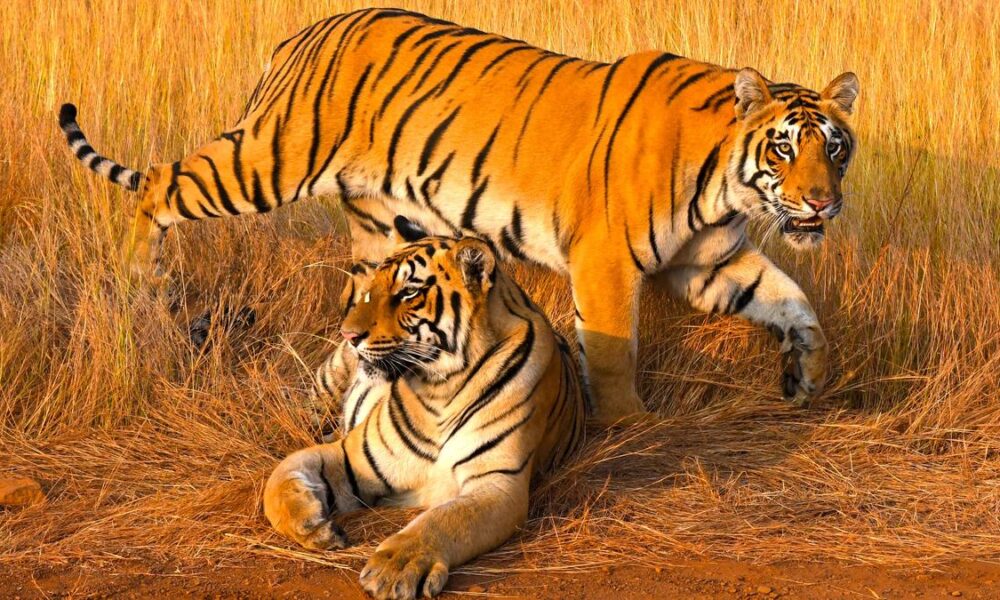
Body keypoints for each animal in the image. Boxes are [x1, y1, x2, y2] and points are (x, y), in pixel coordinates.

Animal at [58, 7, 859, 421]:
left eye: (834, 148)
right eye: (784, 148)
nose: (822, 201)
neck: (725, 185)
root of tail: (308, 29)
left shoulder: (709, 262)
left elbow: (798, 305)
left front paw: (806, 377)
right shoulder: (607, 261)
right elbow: (612, 351)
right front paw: (631, 428)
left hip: (384, 228)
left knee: (355, 327)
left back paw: (319, 391)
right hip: (268, 161)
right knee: (158, 185)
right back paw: (142, 285)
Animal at [263, 216, 587, 600]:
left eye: (408, 293)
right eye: (371, 289)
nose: (348, 335)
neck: (440, 390)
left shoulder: (498, 482)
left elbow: (444, 519)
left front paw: (394, 568)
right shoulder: (352, 455)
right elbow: (278, 480)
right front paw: (315, 527)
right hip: (328, 380)